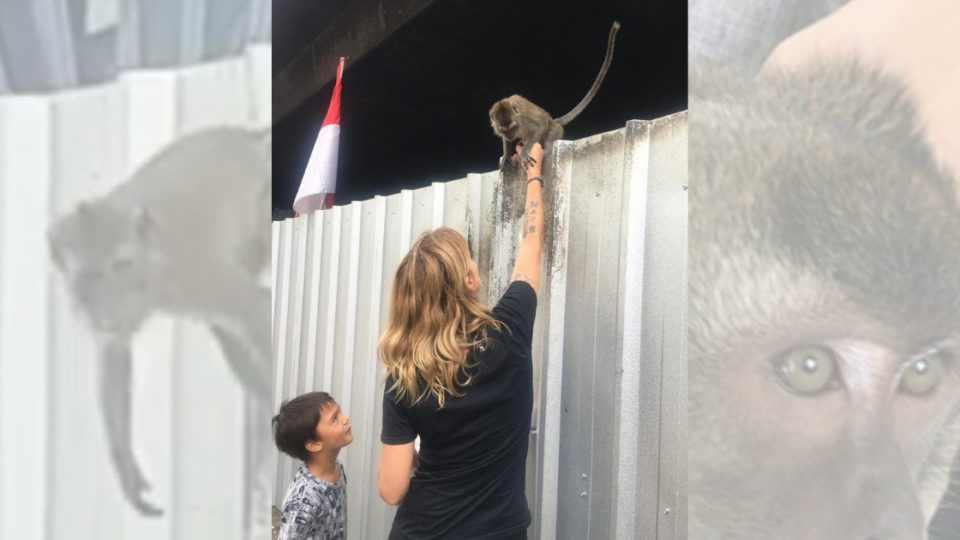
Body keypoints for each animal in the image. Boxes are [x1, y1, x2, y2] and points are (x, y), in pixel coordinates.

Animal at [49, 125, 274, 516]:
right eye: (87, 278)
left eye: (121, 265)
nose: (105, 304)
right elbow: (115, 355)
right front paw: (125, 465)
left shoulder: (194, 273)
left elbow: (257, 308)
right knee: (227, 333)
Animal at [488, 21, 624, 170]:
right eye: (505, 130)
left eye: (513, 128)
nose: (511, 136)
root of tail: (553, 120)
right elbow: (505, 141)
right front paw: (506, 156)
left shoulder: (524, 120)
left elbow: (539, 127)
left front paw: (523, 153)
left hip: (555, 130)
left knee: (548, 138)